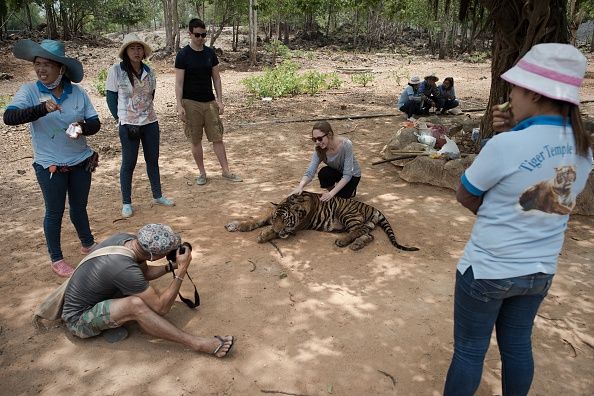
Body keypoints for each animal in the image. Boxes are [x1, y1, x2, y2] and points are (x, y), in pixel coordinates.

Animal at [223, 191, 416, 252]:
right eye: (277, 218)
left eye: (285, 220)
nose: (279, 230)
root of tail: (371, 207)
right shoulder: (270, 214)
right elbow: (256, 219)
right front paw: (235, 225)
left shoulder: (294, 228)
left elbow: (272, 232)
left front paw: (264, 235)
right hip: (364, 224)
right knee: (369, 235)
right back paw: (357, 244)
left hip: (348, 214)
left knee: (359, 230)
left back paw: (343, 242)